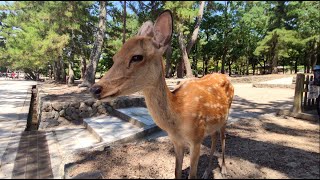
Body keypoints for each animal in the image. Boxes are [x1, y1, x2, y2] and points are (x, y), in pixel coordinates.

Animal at [90, 10, 235, 179]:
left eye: (137, 57)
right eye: (115, 58)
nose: (95, 89)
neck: (178, 119)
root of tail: (225, 75)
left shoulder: (196, 139)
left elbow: (192, 175)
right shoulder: (176, 141)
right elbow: (176, 172)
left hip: (226, 114)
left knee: (223, 137)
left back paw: (224, 169)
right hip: (214, 122)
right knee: (214, 137)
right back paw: (206, 172)